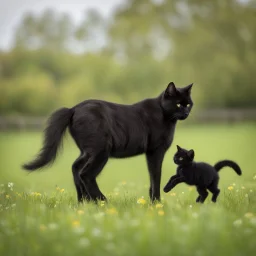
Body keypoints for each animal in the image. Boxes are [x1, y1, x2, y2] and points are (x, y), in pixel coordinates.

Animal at [23, 81, 193, 203]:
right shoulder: (155, 151)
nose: (186, 112)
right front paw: (156, 203)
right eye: (178, 104)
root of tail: (73, 108)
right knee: (85, 174)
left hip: (88, 151)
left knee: (75, 168)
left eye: (188, 104)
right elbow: (155, 176)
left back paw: (84, 202)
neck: (164, 115)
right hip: (101, 151)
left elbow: (152, 177)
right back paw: (102, 201)